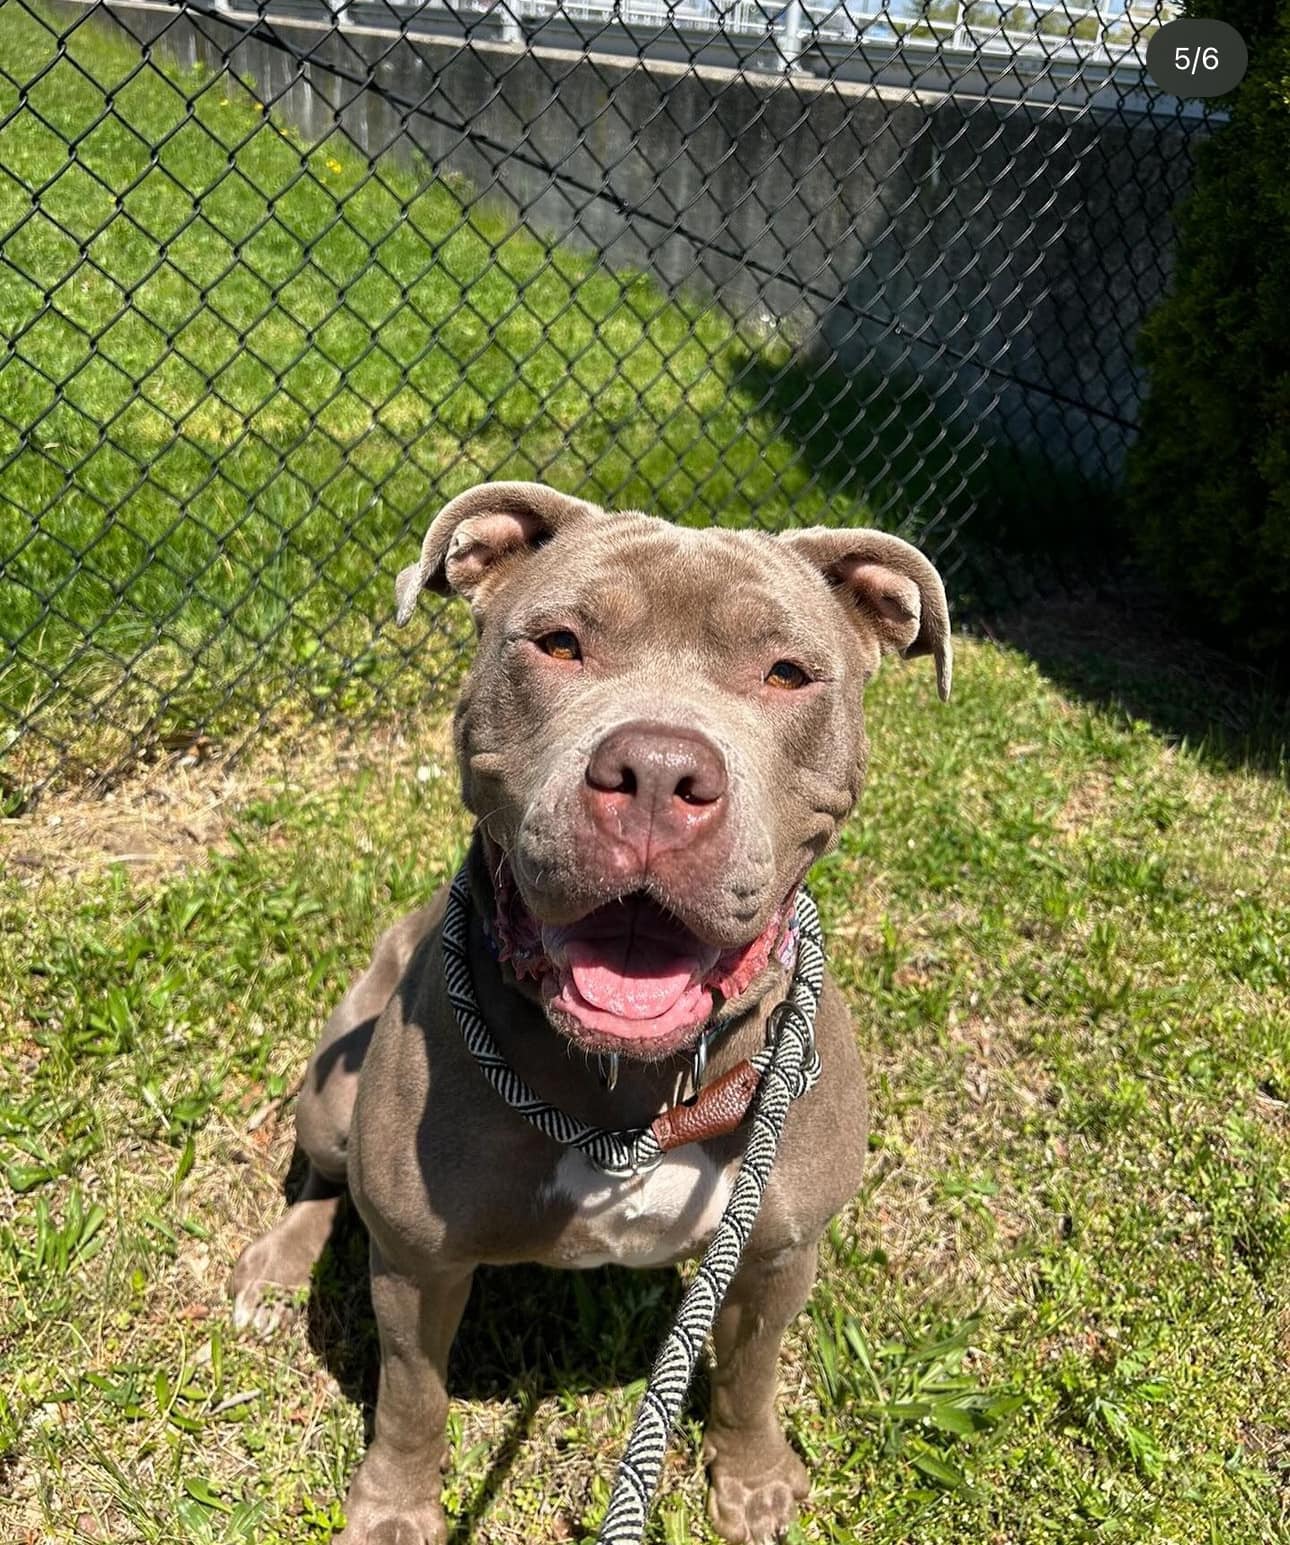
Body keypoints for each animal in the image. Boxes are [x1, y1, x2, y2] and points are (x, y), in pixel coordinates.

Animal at [231, 482, 945, 1545]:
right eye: (560, 644)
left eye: (787, 672)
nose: (658, 771)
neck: (634, 1086)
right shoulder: (415, 1263)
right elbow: (412, 1396)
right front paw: (395, 1507)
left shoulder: (777, 1251)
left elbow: (751, 1373)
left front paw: (752, 1478)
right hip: (331, 1087)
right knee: (323, 1175)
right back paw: (278, 1262)